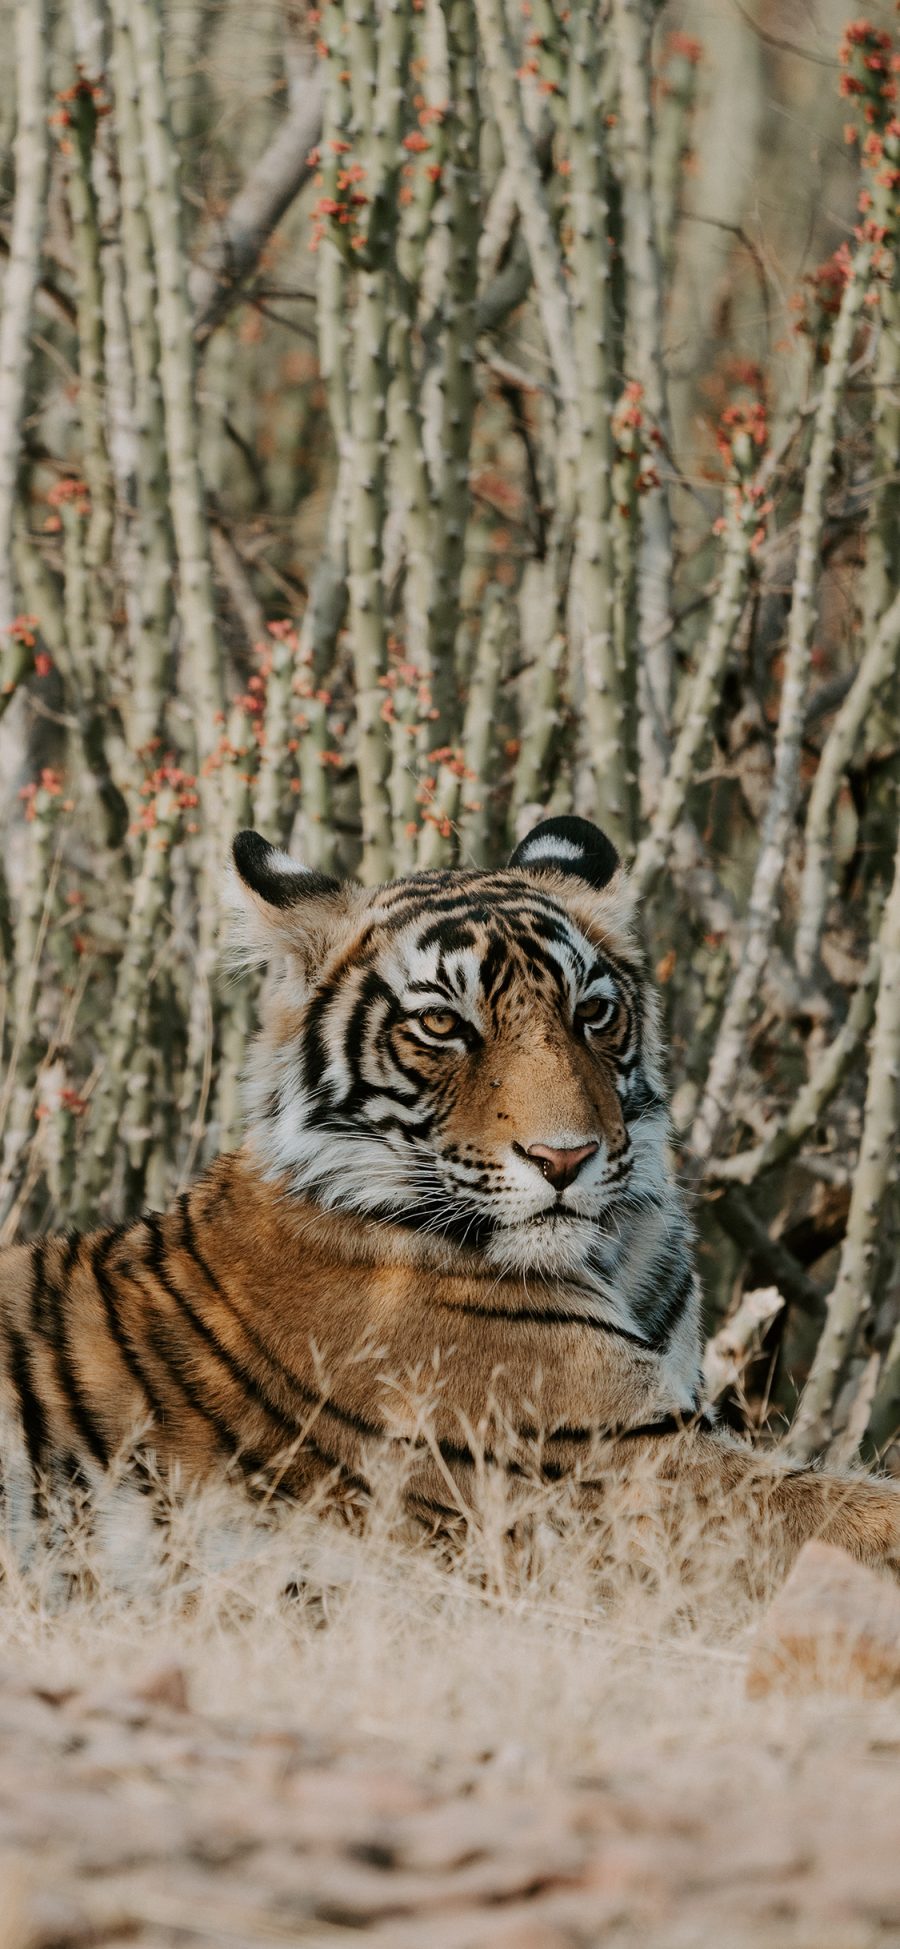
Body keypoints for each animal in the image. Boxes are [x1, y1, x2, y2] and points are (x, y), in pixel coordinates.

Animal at [1, 814, 900, 1574]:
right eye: (442, 1026)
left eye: (593, 1012)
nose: (564, 1157)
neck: (616, 1254)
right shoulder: (627, 1467)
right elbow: (861, 1513)